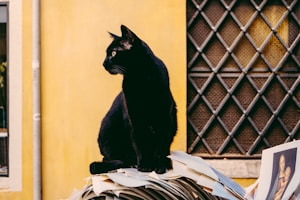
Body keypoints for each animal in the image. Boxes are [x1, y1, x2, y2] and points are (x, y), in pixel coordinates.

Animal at [90, 25, 177, 174]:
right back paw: (131, 162)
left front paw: (159, 166)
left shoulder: (164, 117)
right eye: (107, 53)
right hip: (107, 130)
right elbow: (140, 142)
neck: (140, 78)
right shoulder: (134, 117)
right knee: (113, 158)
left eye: (113, 53)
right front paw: (144, 166)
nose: (103, 63)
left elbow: (160, 145)